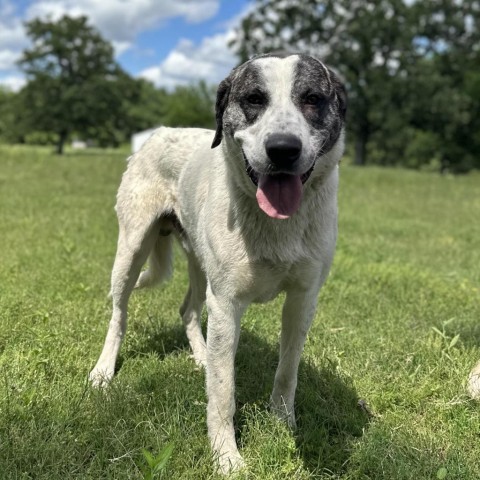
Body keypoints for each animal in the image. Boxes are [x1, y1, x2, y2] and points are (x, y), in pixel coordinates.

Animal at [89, 52, 344, 472]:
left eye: (312, 99)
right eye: (254, 99)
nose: (283, 148)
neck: (276, 225)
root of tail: (158, 132)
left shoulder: (303, 299)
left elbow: (287, 372)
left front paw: (284, 424)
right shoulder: (226, 303)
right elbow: (224, 392)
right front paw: (227, 458)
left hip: (197, 259)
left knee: (188, 308)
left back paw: (202, 356)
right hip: (131, 249)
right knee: (119, 313)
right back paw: (104, 369)